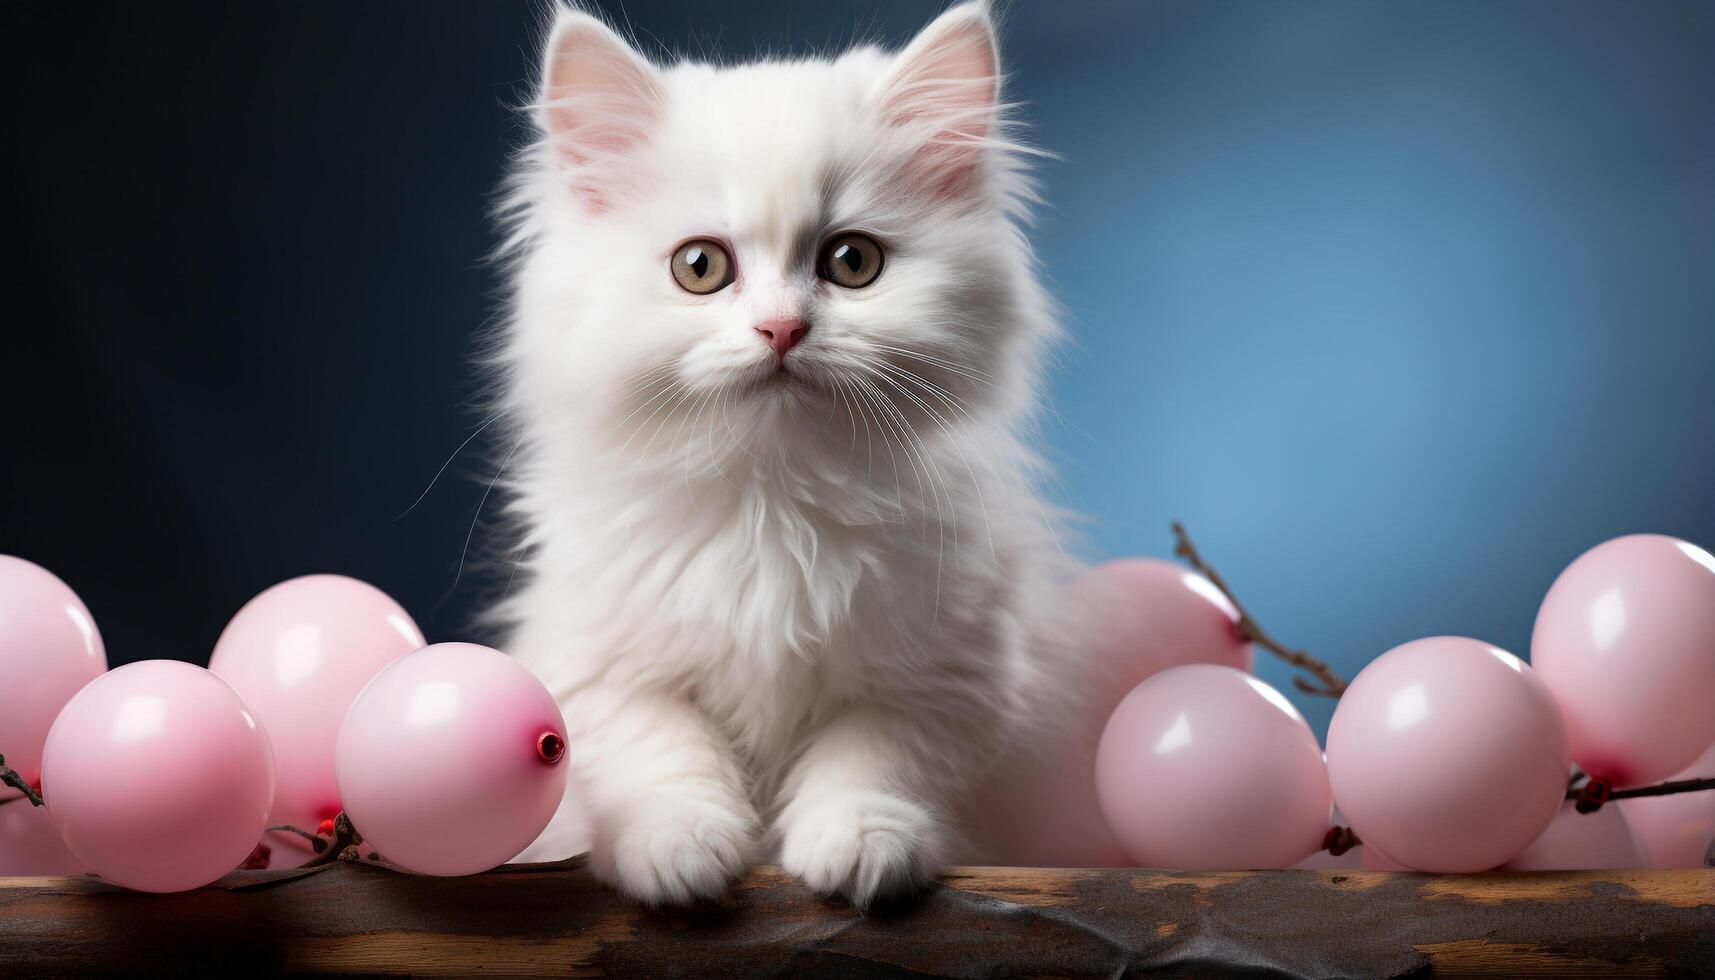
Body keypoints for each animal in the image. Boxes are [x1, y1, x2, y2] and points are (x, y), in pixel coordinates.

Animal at [487, 0, 1083, 906]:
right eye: (700, 267)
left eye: (852, 262)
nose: (781, 329)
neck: (772, 499)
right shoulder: (598, 661)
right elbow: (660, 752)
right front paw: (679, 847)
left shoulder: (948, 671)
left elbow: (872, 757)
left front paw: (861, 844)